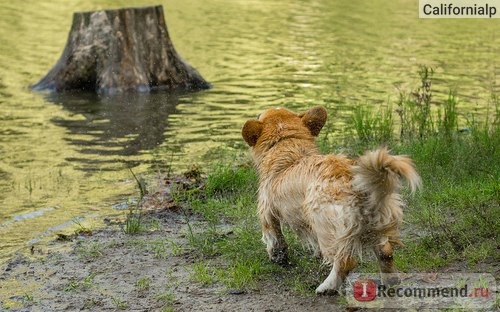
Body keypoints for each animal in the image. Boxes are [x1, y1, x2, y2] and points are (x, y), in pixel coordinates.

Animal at [242, 106, 422, 294]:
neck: (287, 143)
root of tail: (359, 186)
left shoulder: (266, 210)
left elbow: (274, 238)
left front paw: (278, 257)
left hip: (325, 225)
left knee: (345, 261)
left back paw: (327, 286)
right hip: (377, 228)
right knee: (386, 253)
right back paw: (391, 281)